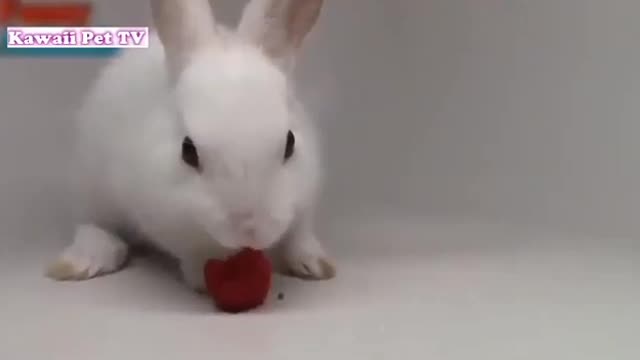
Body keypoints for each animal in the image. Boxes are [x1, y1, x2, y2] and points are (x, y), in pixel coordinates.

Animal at [45, 0, 336, 292]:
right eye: (188, 151)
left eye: (290, 143)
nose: (248, 229)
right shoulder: (165, 215)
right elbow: (195, 252)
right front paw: (204, 279)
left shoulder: (304, 203)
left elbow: (299, 237)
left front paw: (317, 266)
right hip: (91, 189)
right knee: (93, 226)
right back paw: (80, 263)